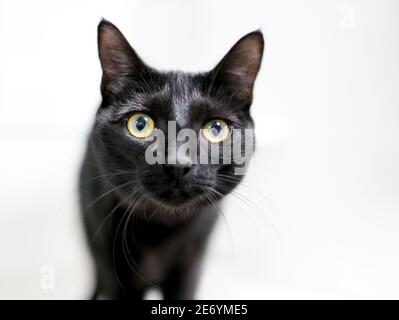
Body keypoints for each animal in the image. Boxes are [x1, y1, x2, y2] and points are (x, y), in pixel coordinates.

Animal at [79, 19, 264, 300]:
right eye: (140, 124)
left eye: (216, 129)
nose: (178, 163)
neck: (164, 229)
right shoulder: (116, 271)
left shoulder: (190, 267)